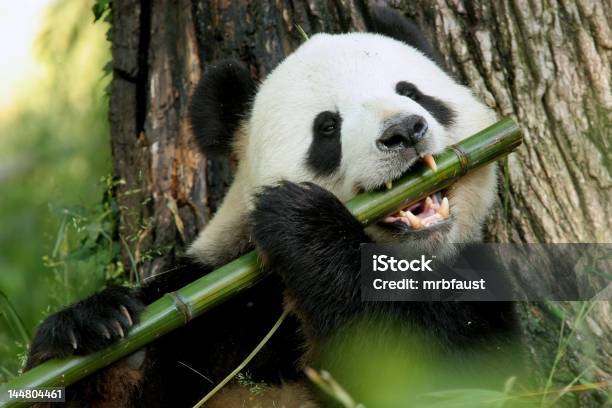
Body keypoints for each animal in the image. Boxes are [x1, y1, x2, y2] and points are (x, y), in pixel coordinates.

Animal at [26, 6, 520, 408]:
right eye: (327, 127)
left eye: (412, 92)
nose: (404, 130)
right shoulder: (217, 306)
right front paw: (92, 331)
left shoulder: (481, 286)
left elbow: (447, 371)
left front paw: (302, 223)